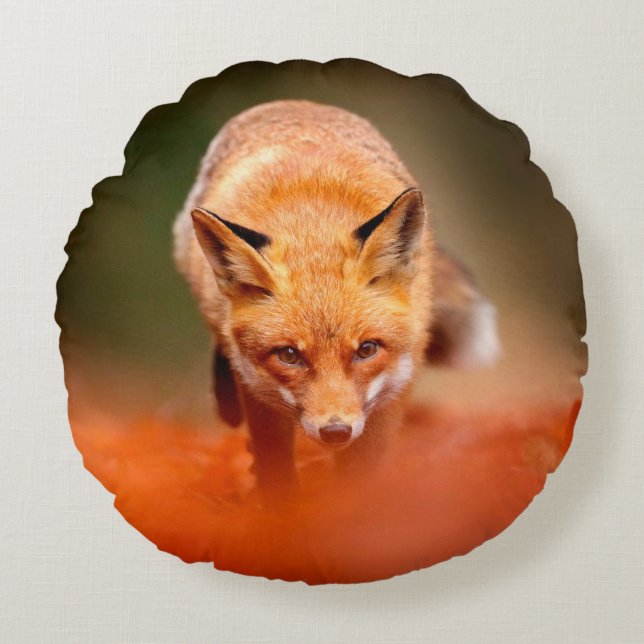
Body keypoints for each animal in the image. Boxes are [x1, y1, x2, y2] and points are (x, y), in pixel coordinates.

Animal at [173, 99, 500, 497]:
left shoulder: (393, 389)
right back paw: (225, 400)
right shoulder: (259, 390)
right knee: (221, 340)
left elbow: (361, 475)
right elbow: (274, 464)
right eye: (289, 355)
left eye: (367, 350)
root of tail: (297, 103)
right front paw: (280, 505)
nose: (335, 431)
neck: (313, 226)